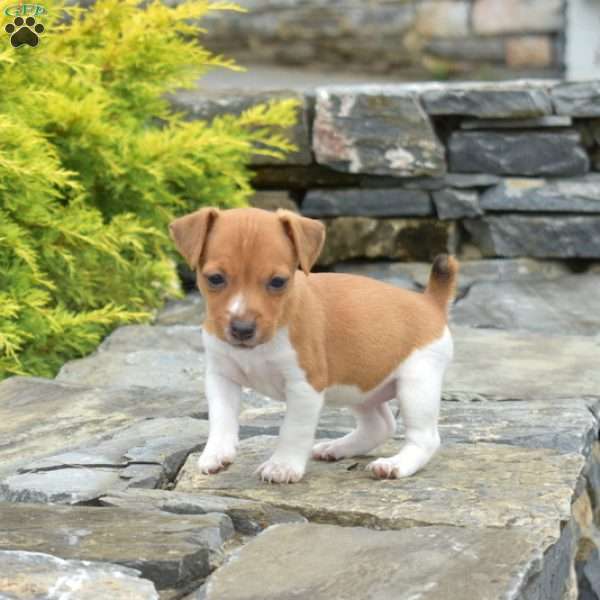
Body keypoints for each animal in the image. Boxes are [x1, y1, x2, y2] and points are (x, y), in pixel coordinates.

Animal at [170, 209, 460, 486]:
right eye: (215, 278)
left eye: (278, 281)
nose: (242, 329)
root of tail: (429, 302)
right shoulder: (221, 377)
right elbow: (221, 419)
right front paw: (216, 453)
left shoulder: (304, 388)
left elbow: (292, 430)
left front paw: (283, 466)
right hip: (359, 387)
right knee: (380, 426)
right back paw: (337, 448)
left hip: (416, 387)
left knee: (425, 438)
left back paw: (395, 465)